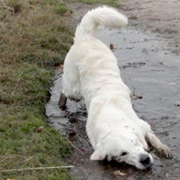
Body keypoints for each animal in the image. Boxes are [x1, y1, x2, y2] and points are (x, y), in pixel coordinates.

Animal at [58, 5, 172, 169]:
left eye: (135, 142)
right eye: (123, 153)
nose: (144, 159)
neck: (112, 120)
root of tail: (85, 38)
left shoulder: (142, 126)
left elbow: (154, 138)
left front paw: (162, 148)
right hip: (73, 89)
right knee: (64, 92)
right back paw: (61, 104)